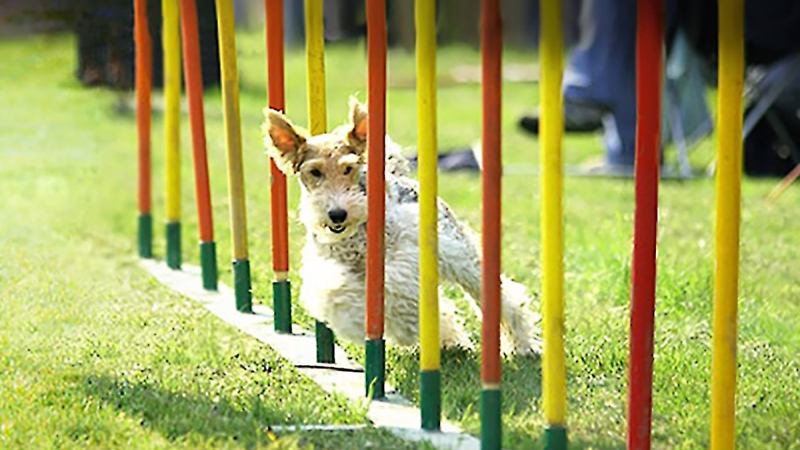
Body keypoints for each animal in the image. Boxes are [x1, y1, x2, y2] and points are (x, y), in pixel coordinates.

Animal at [262, 98, 540, 355]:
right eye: (314, 172)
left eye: (348, 168)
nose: (337, 214)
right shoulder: (327, 265)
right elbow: (332, 292)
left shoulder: (405, 256)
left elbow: (393, 288)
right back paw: (449, 339)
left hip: (462, 258)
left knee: (504, 299)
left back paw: (523, 346)